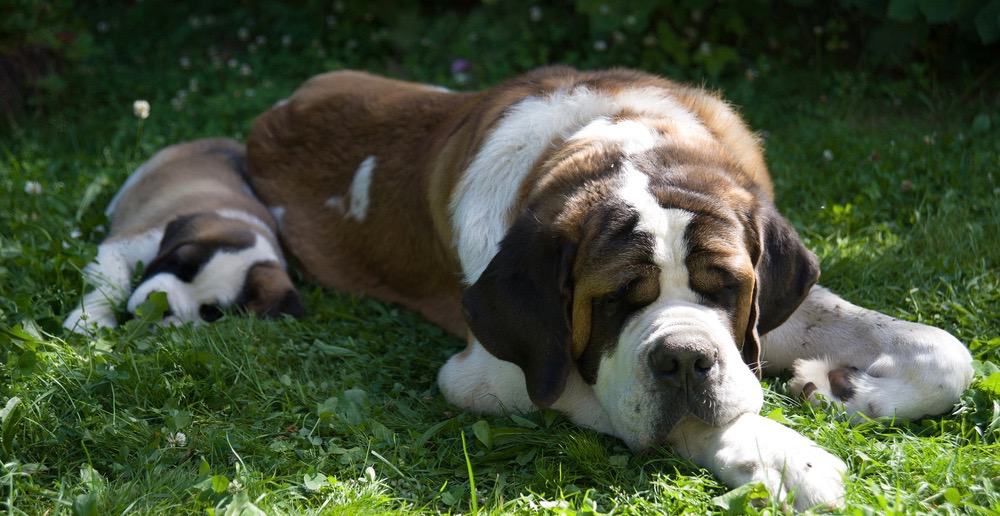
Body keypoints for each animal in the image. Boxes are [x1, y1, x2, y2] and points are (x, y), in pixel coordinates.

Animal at [64, 136, 302, 330]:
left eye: (210, 313)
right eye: (180, 266)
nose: (161, 305)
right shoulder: (122, 246)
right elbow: (112, 283)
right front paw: (91, 320)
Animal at [246, 67, 972, 508]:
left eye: (723, 288)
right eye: (617, 301)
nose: (685, 358)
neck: (625, 147)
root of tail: (273, 115)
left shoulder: (770, 308)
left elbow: (944, 352)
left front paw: (841, 388)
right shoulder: (492, 374)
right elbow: (643, 405)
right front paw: (787, 457)